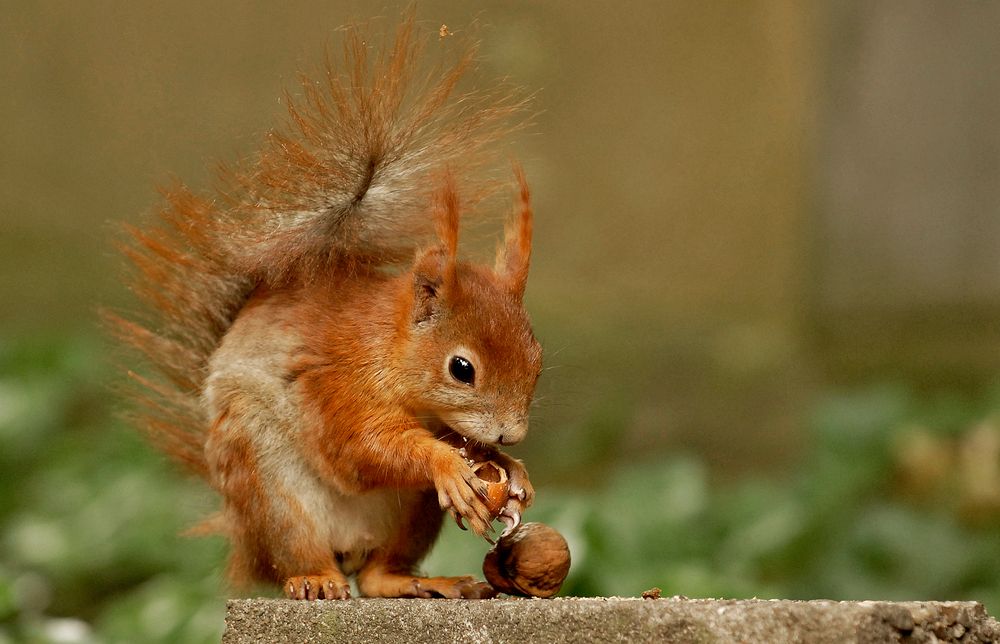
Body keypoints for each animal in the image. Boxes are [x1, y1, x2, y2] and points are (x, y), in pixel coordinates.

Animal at [111, 17, 540, 600]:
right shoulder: (338, 384)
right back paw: (315, 579)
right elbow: (361, 449)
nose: (510, 434)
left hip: (408, 518)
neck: (387, 346)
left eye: (537, 361)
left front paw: (511, 469)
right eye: (461, 368)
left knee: (378, 576)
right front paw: (446, 462)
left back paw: (421, 581)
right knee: (303, 553)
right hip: (269, 489)